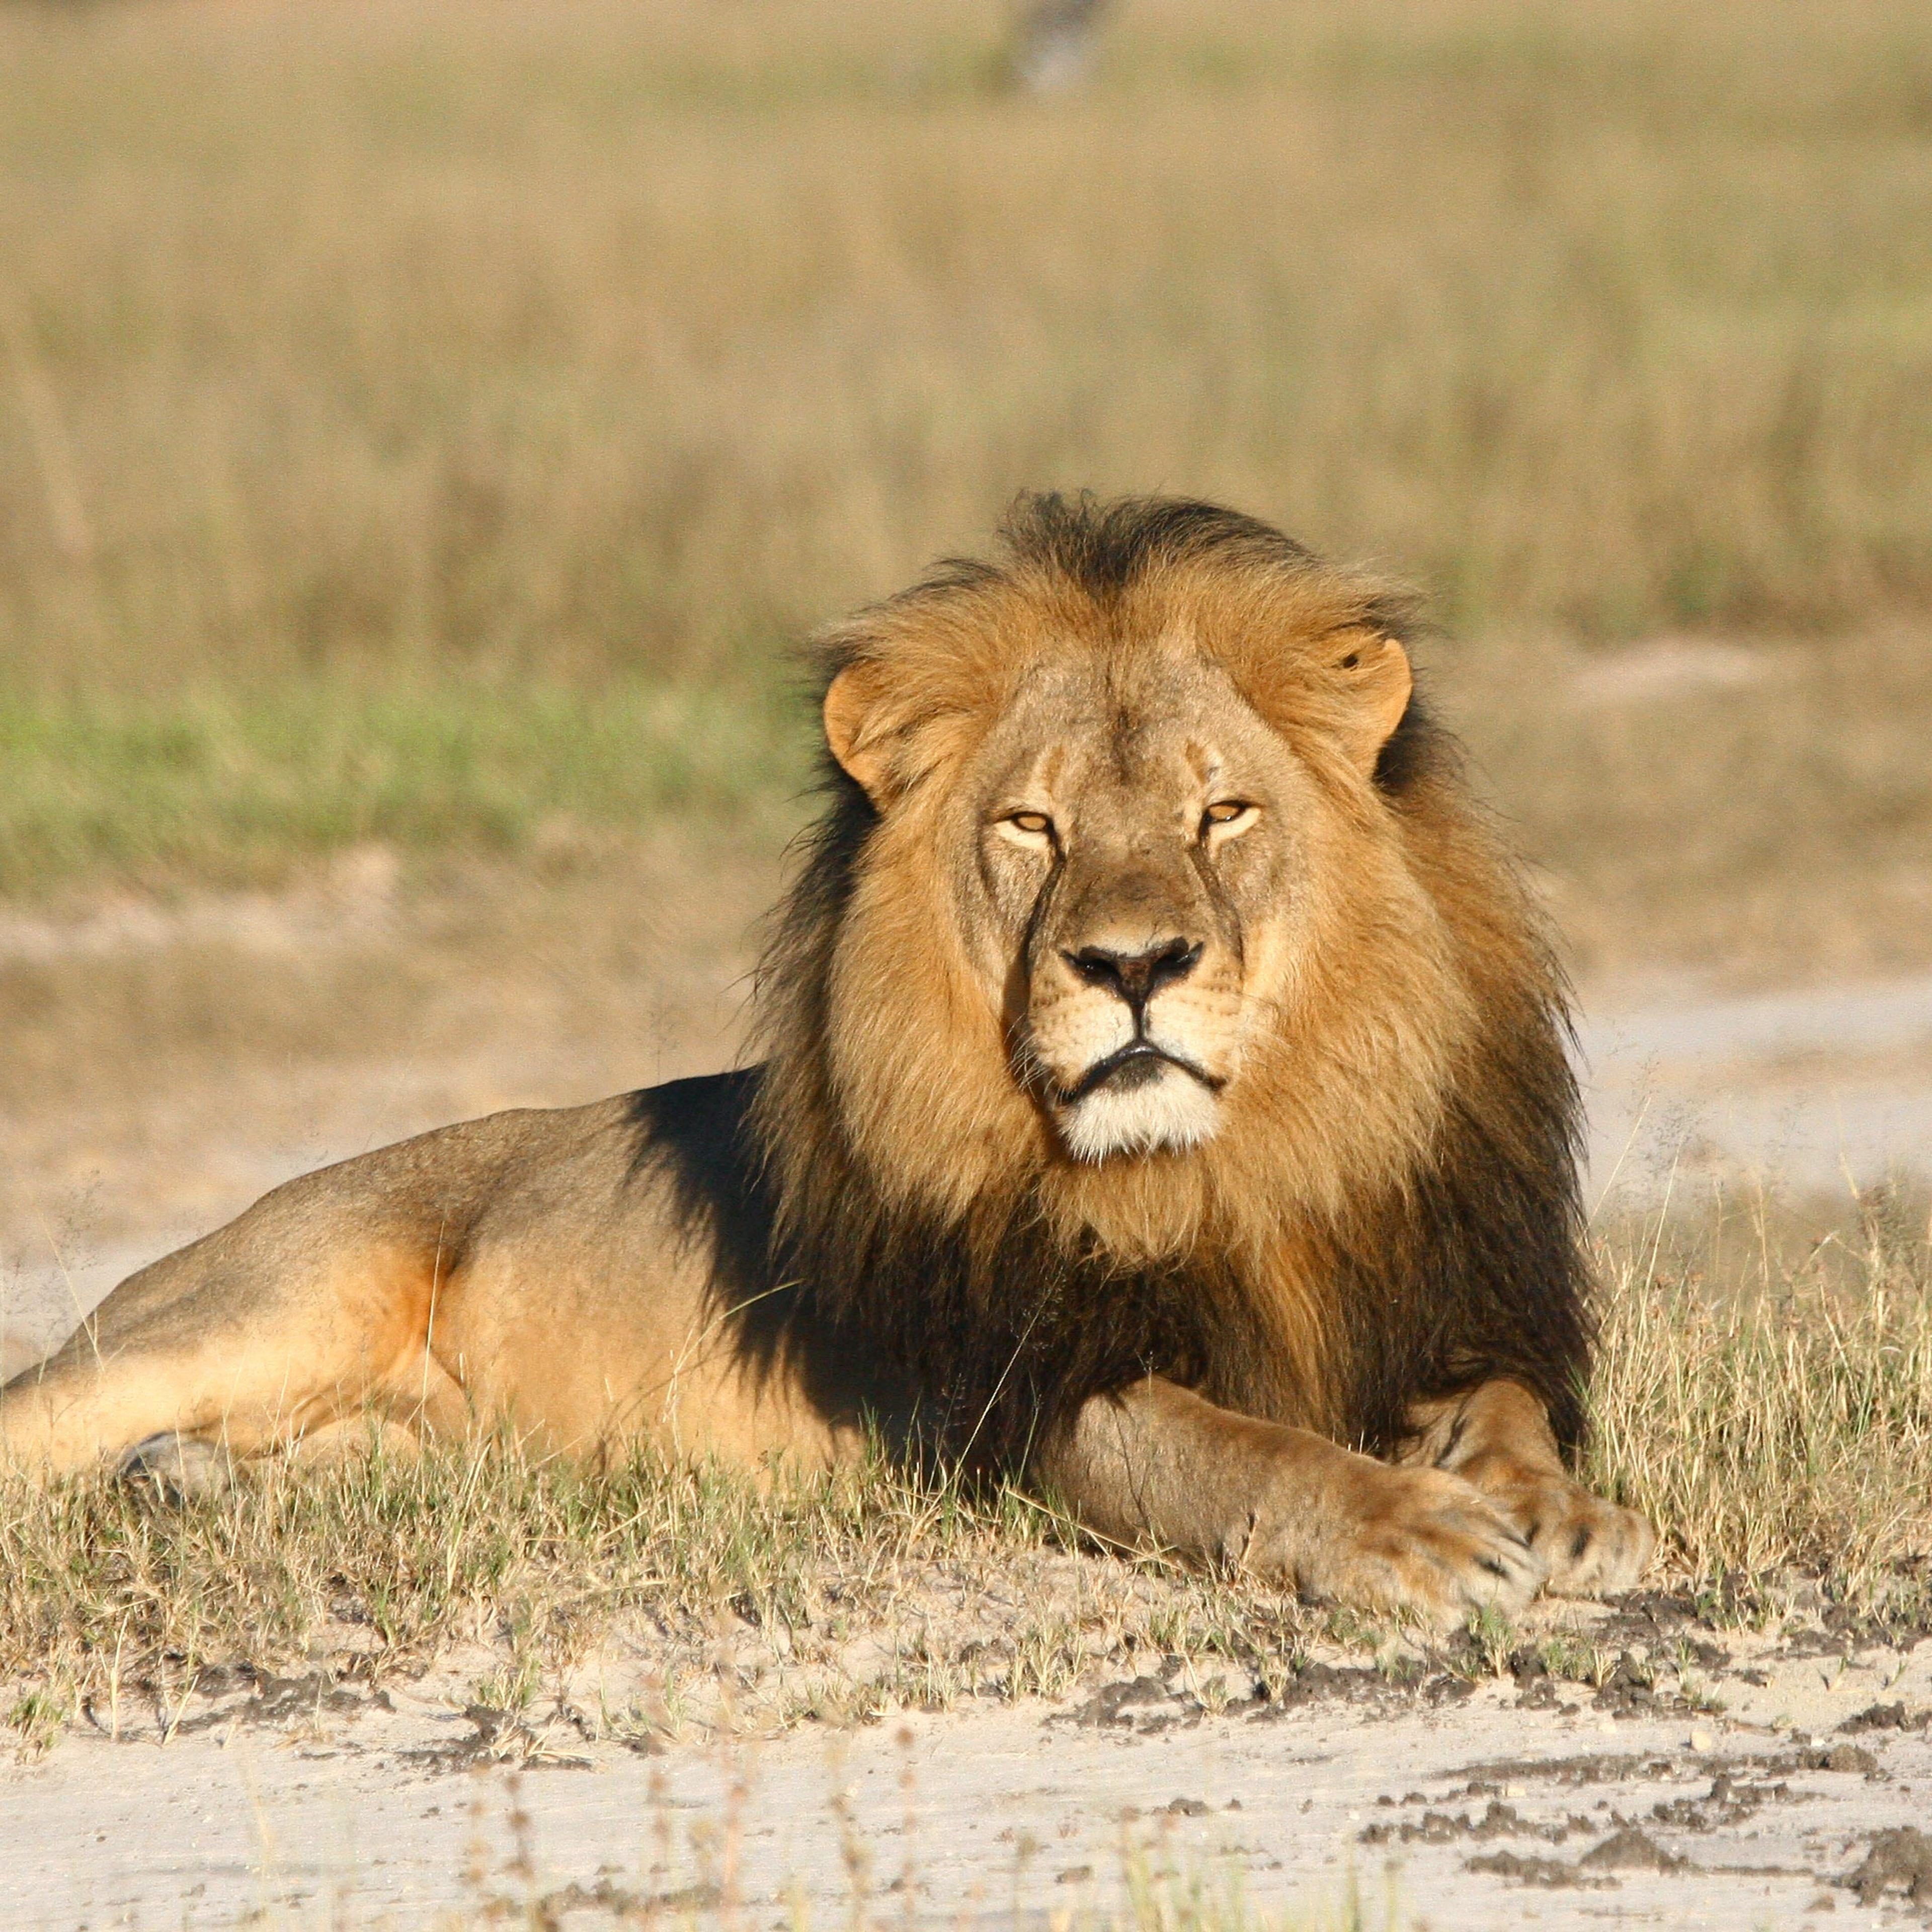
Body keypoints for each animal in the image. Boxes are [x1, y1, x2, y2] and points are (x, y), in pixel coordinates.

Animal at [1, 494, 1653, 1625]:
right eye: (1032, 825)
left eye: (1220, 812)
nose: (1131, 966)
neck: (1227, 1166)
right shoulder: (1025, 1397)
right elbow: (1237, 1451)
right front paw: (1411, 1529)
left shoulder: (1436, 1301)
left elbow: (1504, 1406)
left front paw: (1562, 1513)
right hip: (269, 1302)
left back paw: (193, 1480)